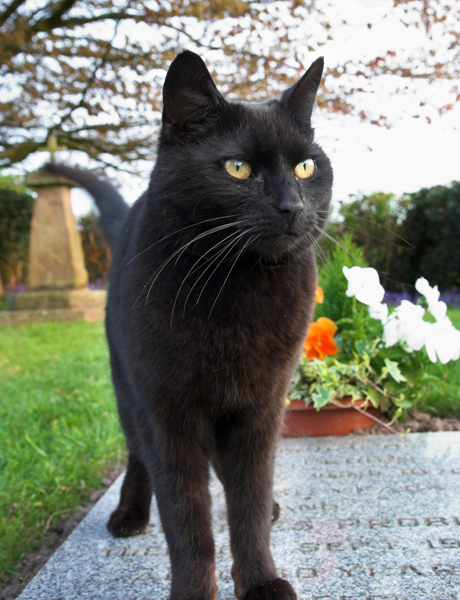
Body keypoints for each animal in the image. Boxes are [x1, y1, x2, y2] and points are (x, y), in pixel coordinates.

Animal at [45, 50, 330, 600]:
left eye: (306, 166)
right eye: (238, 168)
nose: (293, 206)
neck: (237, 289)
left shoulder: (261, 406)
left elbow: (248, 499)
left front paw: (261, 579)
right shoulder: (167, 413)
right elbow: (185, 517)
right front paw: (197, 589)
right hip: (126, 388)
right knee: (137, 456)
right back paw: (130, 513)